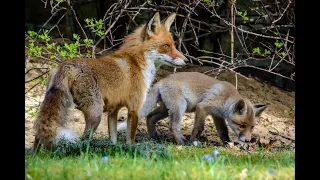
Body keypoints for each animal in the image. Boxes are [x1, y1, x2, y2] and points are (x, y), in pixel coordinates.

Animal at [31, 11, 188, 150]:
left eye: (173, 45)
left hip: (59, 110)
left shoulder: (113, 110)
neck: (137, 64)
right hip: (95, 114)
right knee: (83, 140)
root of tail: (66, 66)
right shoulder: (134, 108)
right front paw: (131, 152)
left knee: (38, 136)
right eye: (166, 46)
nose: (186, 60)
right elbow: (130, 139)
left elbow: (113, 139)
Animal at [117, 71, 268, 145]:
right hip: (179, 107)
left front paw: (228, 144)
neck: (226, 98)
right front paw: (193, 141)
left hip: (165, 109)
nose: (248, 140)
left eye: (252, 127)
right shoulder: (203, 107)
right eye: (242, 125)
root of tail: (161, 81)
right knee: (173, 126)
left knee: (150, 117)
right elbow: (199, 127)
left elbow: (223, 131)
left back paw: (154, 137)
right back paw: (183, 142)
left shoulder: (217, 115)